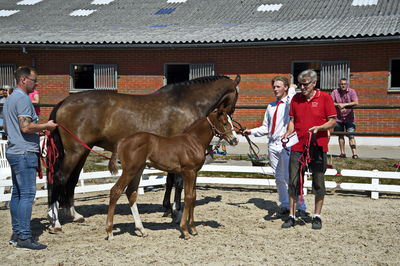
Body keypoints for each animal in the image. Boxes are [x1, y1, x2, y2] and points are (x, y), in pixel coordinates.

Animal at [105, 110, 238, 239]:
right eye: (225, 123)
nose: (235, 140)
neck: (193, 142)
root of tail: (122, 141)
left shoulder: (195, 173)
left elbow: (193, 196)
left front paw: (193, 229)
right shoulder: (189, 172)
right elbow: (188, 197)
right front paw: (185, 231)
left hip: (138, 170)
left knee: (131, 192)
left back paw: (141, 230)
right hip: (130, 170)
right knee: (116, 191)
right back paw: (110, 232)